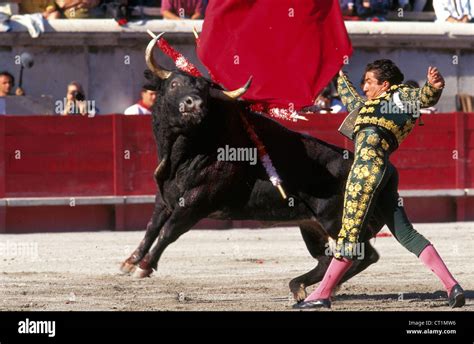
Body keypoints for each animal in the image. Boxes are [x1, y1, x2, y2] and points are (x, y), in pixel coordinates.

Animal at [120, 49, 398, 302]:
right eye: (174, 84)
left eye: (206, 94)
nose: (194, 104)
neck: (184, 153)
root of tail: (385, 169)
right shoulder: (165, 197)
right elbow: (152, 226)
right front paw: (130, 262)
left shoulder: (195, 202)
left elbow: (168, 231)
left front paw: (144, 267)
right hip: (311, 224)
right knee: (327, 258)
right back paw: (301, 286)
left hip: (338, 220)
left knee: (362, 255)